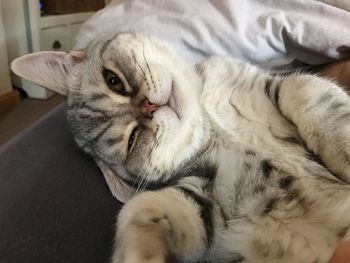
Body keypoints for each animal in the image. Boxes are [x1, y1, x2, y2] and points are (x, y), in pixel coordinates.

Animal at [10, 33, 350, 263]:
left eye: (113, 81)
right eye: (132, 141)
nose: (149, 108)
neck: (210, 125)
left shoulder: (274, 83)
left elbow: (304, 89)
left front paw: (342, 151)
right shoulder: (204, 194)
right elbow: (146, 209)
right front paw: (138, 253)